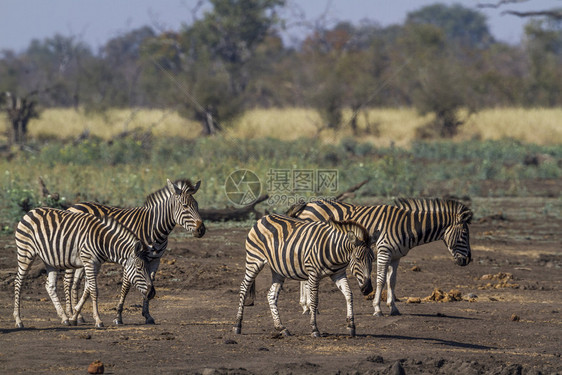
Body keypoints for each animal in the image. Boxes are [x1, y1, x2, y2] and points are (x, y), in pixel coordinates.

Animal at [13, 209, 153, 328]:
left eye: (148, 267)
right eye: (139, 269)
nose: (152, 293)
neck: (102, 240)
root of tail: (30, 212)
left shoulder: (95, 265)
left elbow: (87, 290)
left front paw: (74, 317)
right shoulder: (89, 262)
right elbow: (94, 290)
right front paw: (98, 320)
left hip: (50, 260)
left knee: (50, 285)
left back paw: (64, 318)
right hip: (25, 253)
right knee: (18, 282)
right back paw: (18, 320)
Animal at [230, 214, 374, 338]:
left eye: (372, 259)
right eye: (357, 258)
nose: (368, 290)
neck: (334, 249)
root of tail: (263, 218)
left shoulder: (338, 274)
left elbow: (349, 294)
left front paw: (351, 325)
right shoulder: (313, 273)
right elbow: (314, 300)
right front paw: (314, 329)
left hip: (278, 269)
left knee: (271, 295)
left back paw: (281, 328)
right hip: (254, 260)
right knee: (244, 288)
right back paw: (237, 325)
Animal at [286, 198, 470, 318]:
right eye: (464, 234)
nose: (468, 261)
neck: (407, 226)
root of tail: (308, 204)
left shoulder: (396, 256)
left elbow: (392, 281)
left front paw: (393, 308)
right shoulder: (384, 251)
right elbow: (381, 280)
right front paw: (377, 308)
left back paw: (306, 306)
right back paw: (310, 307)